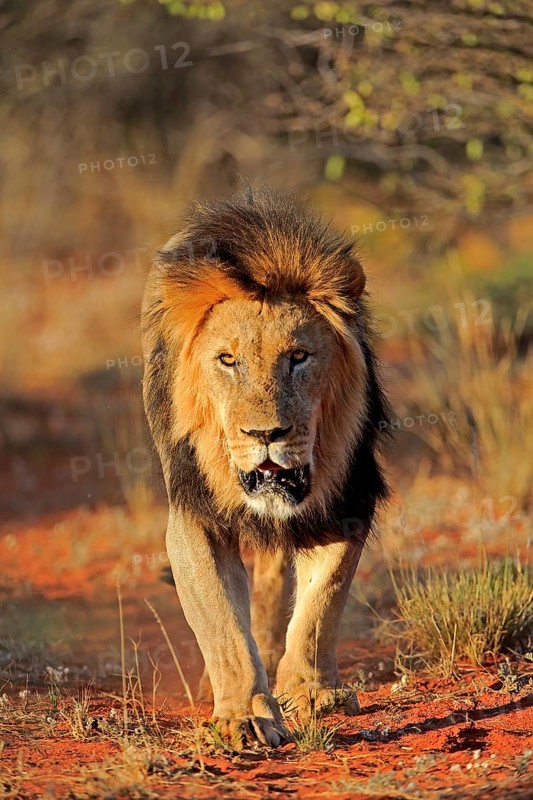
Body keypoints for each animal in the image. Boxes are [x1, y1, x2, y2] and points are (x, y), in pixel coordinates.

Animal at [141, 187, 389, 748]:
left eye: (298, 356)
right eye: (228, 361)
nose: (265, 436)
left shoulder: (346, 501)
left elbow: (323, 602)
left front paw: (312, 692)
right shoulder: (195, 516)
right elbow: (223, 626)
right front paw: (244, 714)